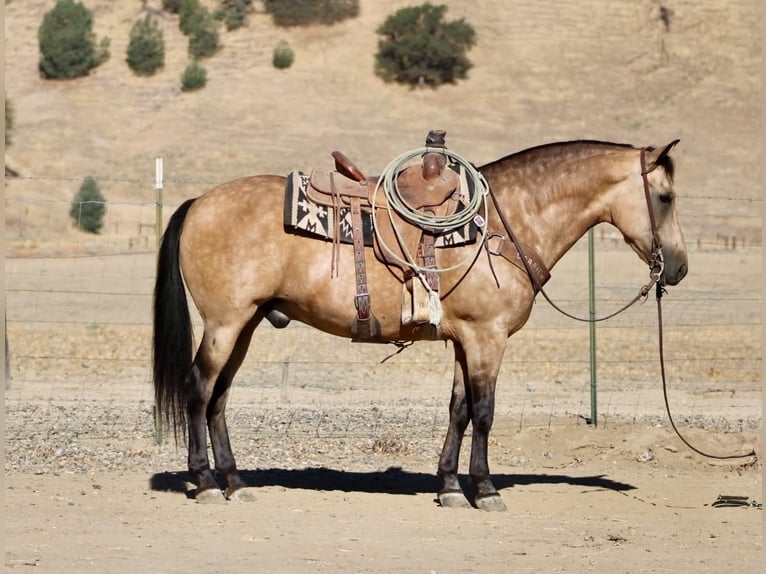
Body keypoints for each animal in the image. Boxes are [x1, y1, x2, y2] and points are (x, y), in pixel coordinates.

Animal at [153, 139, 688, 510]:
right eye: (664, 197)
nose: (679, 268)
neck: (505, 222)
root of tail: (198, 202)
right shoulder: (487, 338)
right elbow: (485, 412)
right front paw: (485, 489)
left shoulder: (465, 340)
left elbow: (458, 410)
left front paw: (450, 486)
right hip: (225, 324)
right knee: (200, 390)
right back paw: (205, 483)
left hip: (244, 325)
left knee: (219, 398)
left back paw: (235, 482)